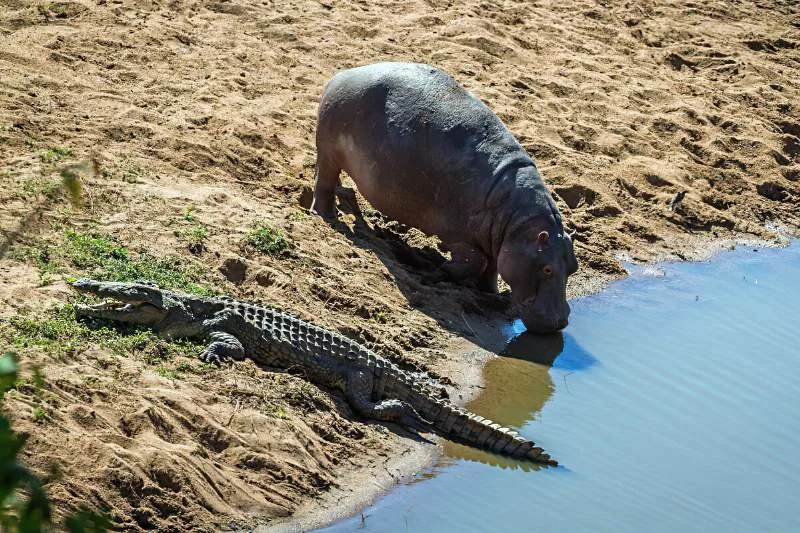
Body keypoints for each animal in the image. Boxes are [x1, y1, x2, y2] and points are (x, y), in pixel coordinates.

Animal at [310, 63, 580, 332]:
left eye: (574, 267)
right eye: (547, 269)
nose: (561, 322)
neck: (518, 223)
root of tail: (342, 75)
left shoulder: (497, 241)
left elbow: (492, 268)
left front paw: (492, 293)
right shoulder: (460, 236)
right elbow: (475, 263)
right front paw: (434, 270)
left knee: (331, 179)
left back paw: (345, 198)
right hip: (329, 148)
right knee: (323, 182)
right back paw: (327, 215)